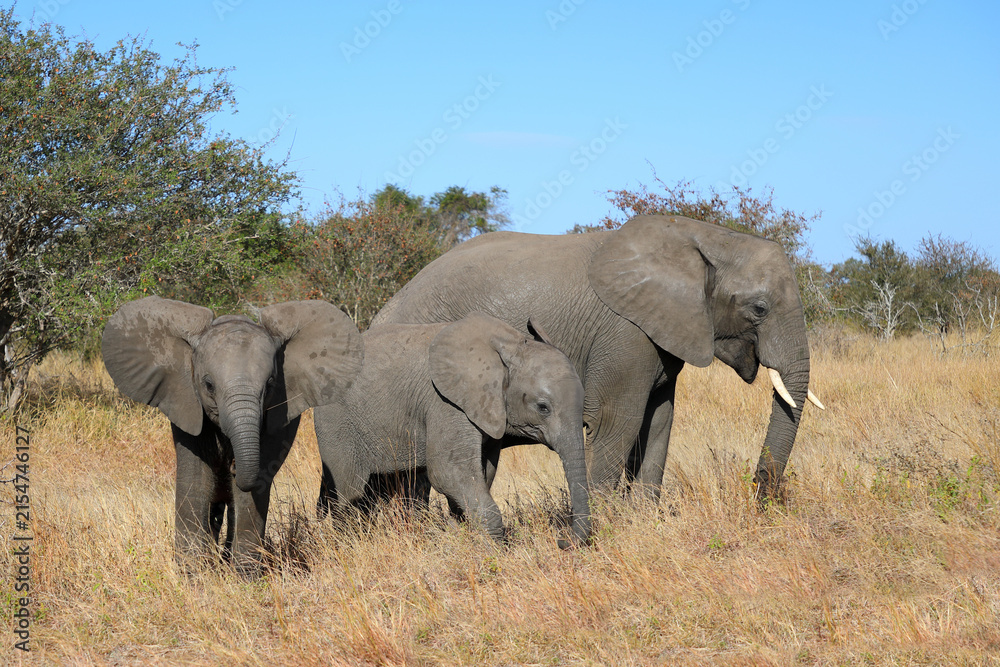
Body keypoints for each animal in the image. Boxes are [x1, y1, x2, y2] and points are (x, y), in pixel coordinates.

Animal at [102, 296, 363, 575]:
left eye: (271, 384)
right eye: (208, 385)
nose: (233, 465)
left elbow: (252, 491)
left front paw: (244, 577)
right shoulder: (186, 404)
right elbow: (196, 477)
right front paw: (193, 576)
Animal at [313, 312, 591, 546]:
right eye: (543, 407)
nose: (562, 541)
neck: (510, 344)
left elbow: (482, 473)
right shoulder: (445, 403)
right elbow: (448, 472)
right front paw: (493, 553)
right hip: (335, 422)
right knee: (350, 492)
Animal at [372, 214, 824, 500]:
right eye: (759, 309)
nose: (760, 492)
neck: (705, 236)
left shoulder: (663, 332)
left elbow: (659, 420)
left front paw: (643, 518)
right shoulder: (625, 333)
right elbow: (617, 423)